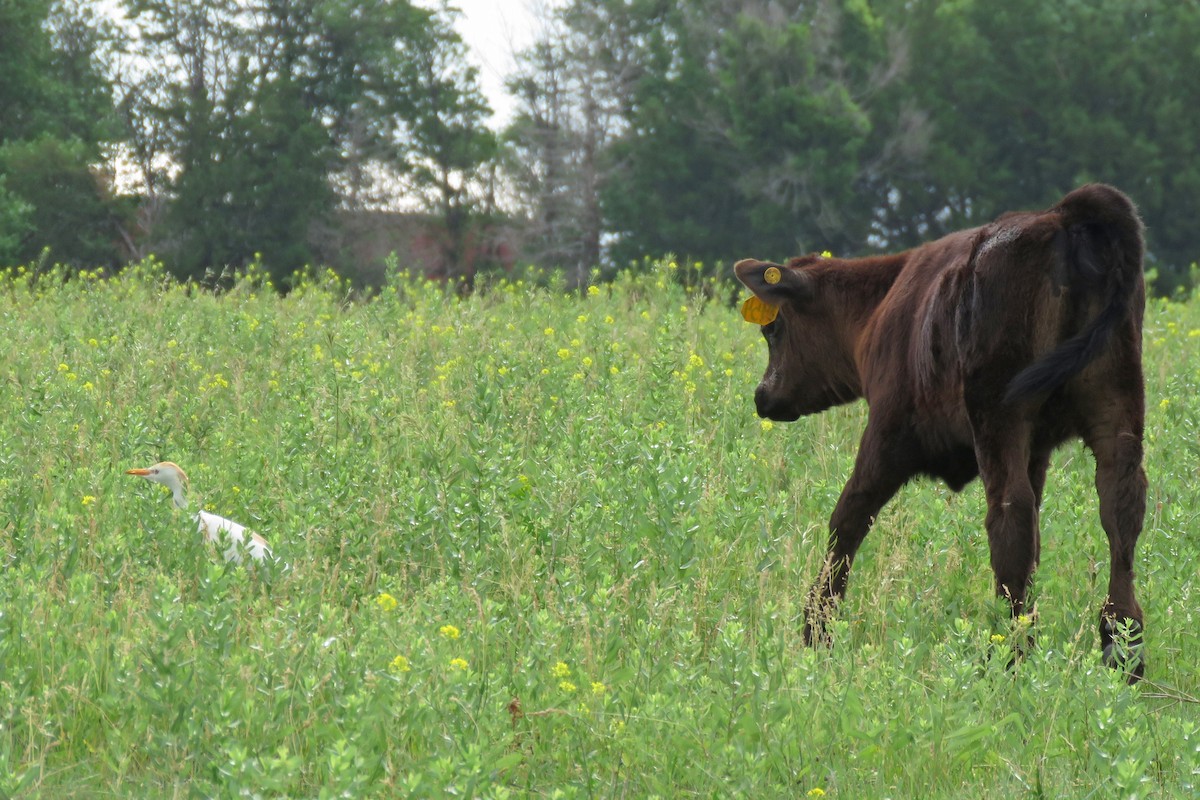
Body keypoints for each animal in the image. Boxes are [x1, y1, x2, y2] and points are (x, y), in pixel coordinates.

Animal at [734, 184, 1147, 681]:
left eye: (773, 328)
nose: (763, 397)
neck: (883, 303)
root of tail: (1061, 217)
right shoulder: (1037, 449)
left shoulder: (887, 431)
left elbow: (847, 519)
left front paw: (817, 630)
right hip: (1117, 408)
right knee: (1119, 507)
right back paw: (1122, 649)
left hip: (999, 412)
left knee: (1010, 514)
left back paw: (1008, 653)